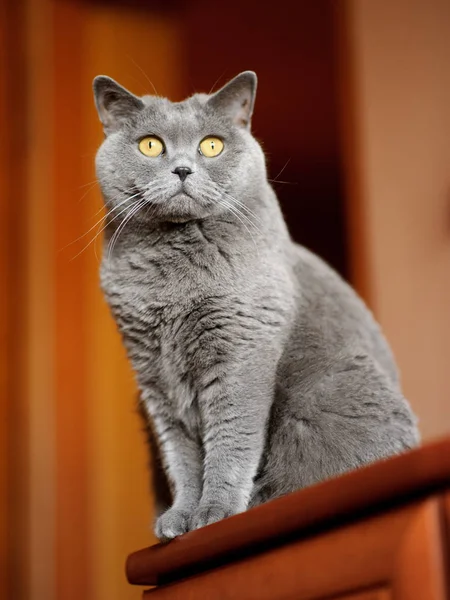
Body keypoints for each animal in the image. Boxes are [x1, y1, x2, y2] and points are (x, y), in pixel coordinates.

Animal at [93, 72, 420, 540]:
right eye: (151, 145)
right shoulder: (154, 374)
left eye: (212, 145)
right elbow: (181, 455)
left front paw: (215, 513)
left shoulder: (241, 352)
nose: (183, 169)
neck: (170, 283)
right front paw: (180, 518)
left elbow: (231, 437)